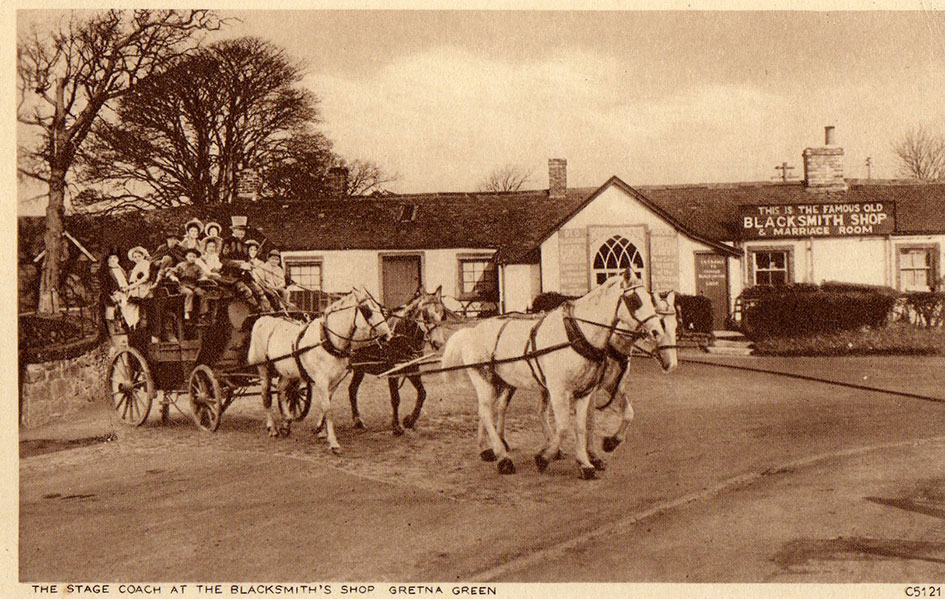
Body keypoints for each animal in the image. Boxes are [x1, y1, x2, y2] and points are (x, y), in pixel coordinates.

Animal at [247, 288, 390, 452]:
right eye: (367, 310)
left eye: (380, 308)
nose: (387, 334)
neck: (327, 340)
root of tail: (262, 320)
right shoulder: (321, 381)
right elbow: (328, 408)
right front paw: (333, 442)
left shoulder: (335, 382)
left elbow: (324, 405)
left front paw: (320, 430)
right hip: (263, 368)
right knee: (266, 395)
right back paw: (272, 428)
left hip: (287, 372)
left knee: (282, 390)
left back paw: (287, 422)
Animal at [348, 288, 448, 436]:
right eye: (425, 314)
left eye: (441, 313)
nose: (438, 342)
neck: (402, 335)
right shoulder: (392, 371)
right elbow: (395, 398)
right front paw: (396, 426)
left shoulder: (411, 367)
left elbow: (422, 393)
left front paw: (409, 420)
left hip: (359, 369)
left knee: (352, 389)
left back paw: (357, 421)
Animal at [442, 272, 664, 478]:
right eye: (635, 300)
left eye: (650, 298)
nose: (657, 332)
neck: (577, 334)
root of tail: (471, 331)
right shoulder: (559, 390)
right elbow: (564, 425)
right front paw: (544, 457)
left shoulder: (584, 392)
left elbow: (581, 426)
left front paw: (585, 464)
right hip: (484, 381)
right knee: (487, 413)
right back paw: (503, 459)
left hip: (502, 383)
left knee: (487, 411)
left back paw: (488, 449)